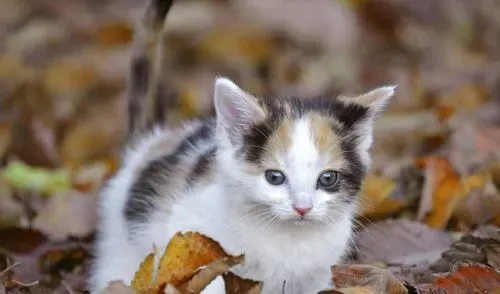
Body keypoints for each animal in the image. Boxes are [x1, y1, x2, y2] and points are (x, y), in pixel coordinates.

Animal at [88, 0, 396, 294]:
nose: (302, 208)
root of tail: (152, 141)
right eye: (274, 177)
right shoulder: (196, 243)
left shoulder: (318, 272)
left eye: (327, 178)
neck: (287, 239)